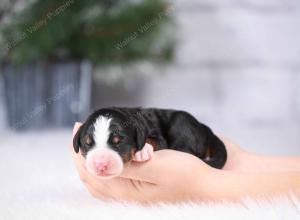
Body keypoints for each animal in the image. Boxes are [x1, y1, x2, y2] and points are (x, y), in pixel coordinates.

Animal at [73, 108, 227, 179]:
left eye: (119, 141)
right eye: (87, 143)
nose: (101, 164)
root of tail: (205, 128)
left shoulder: (157, 136)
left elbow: (152, 140)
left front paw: (142, 151)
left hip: (181, 122)